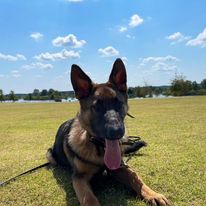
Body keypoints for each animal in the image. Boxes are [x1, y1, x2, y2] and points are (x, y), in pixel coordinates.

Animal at [47, 58, 171, 206]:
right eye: (97, 107)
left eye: (119, 103)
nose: (117, 132)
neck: (99, 149)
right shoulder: (79, 179)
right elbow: (89, 199)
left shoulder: (120, 168)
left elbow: (135, 177)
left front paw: (153, 194)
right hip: (49, 155)